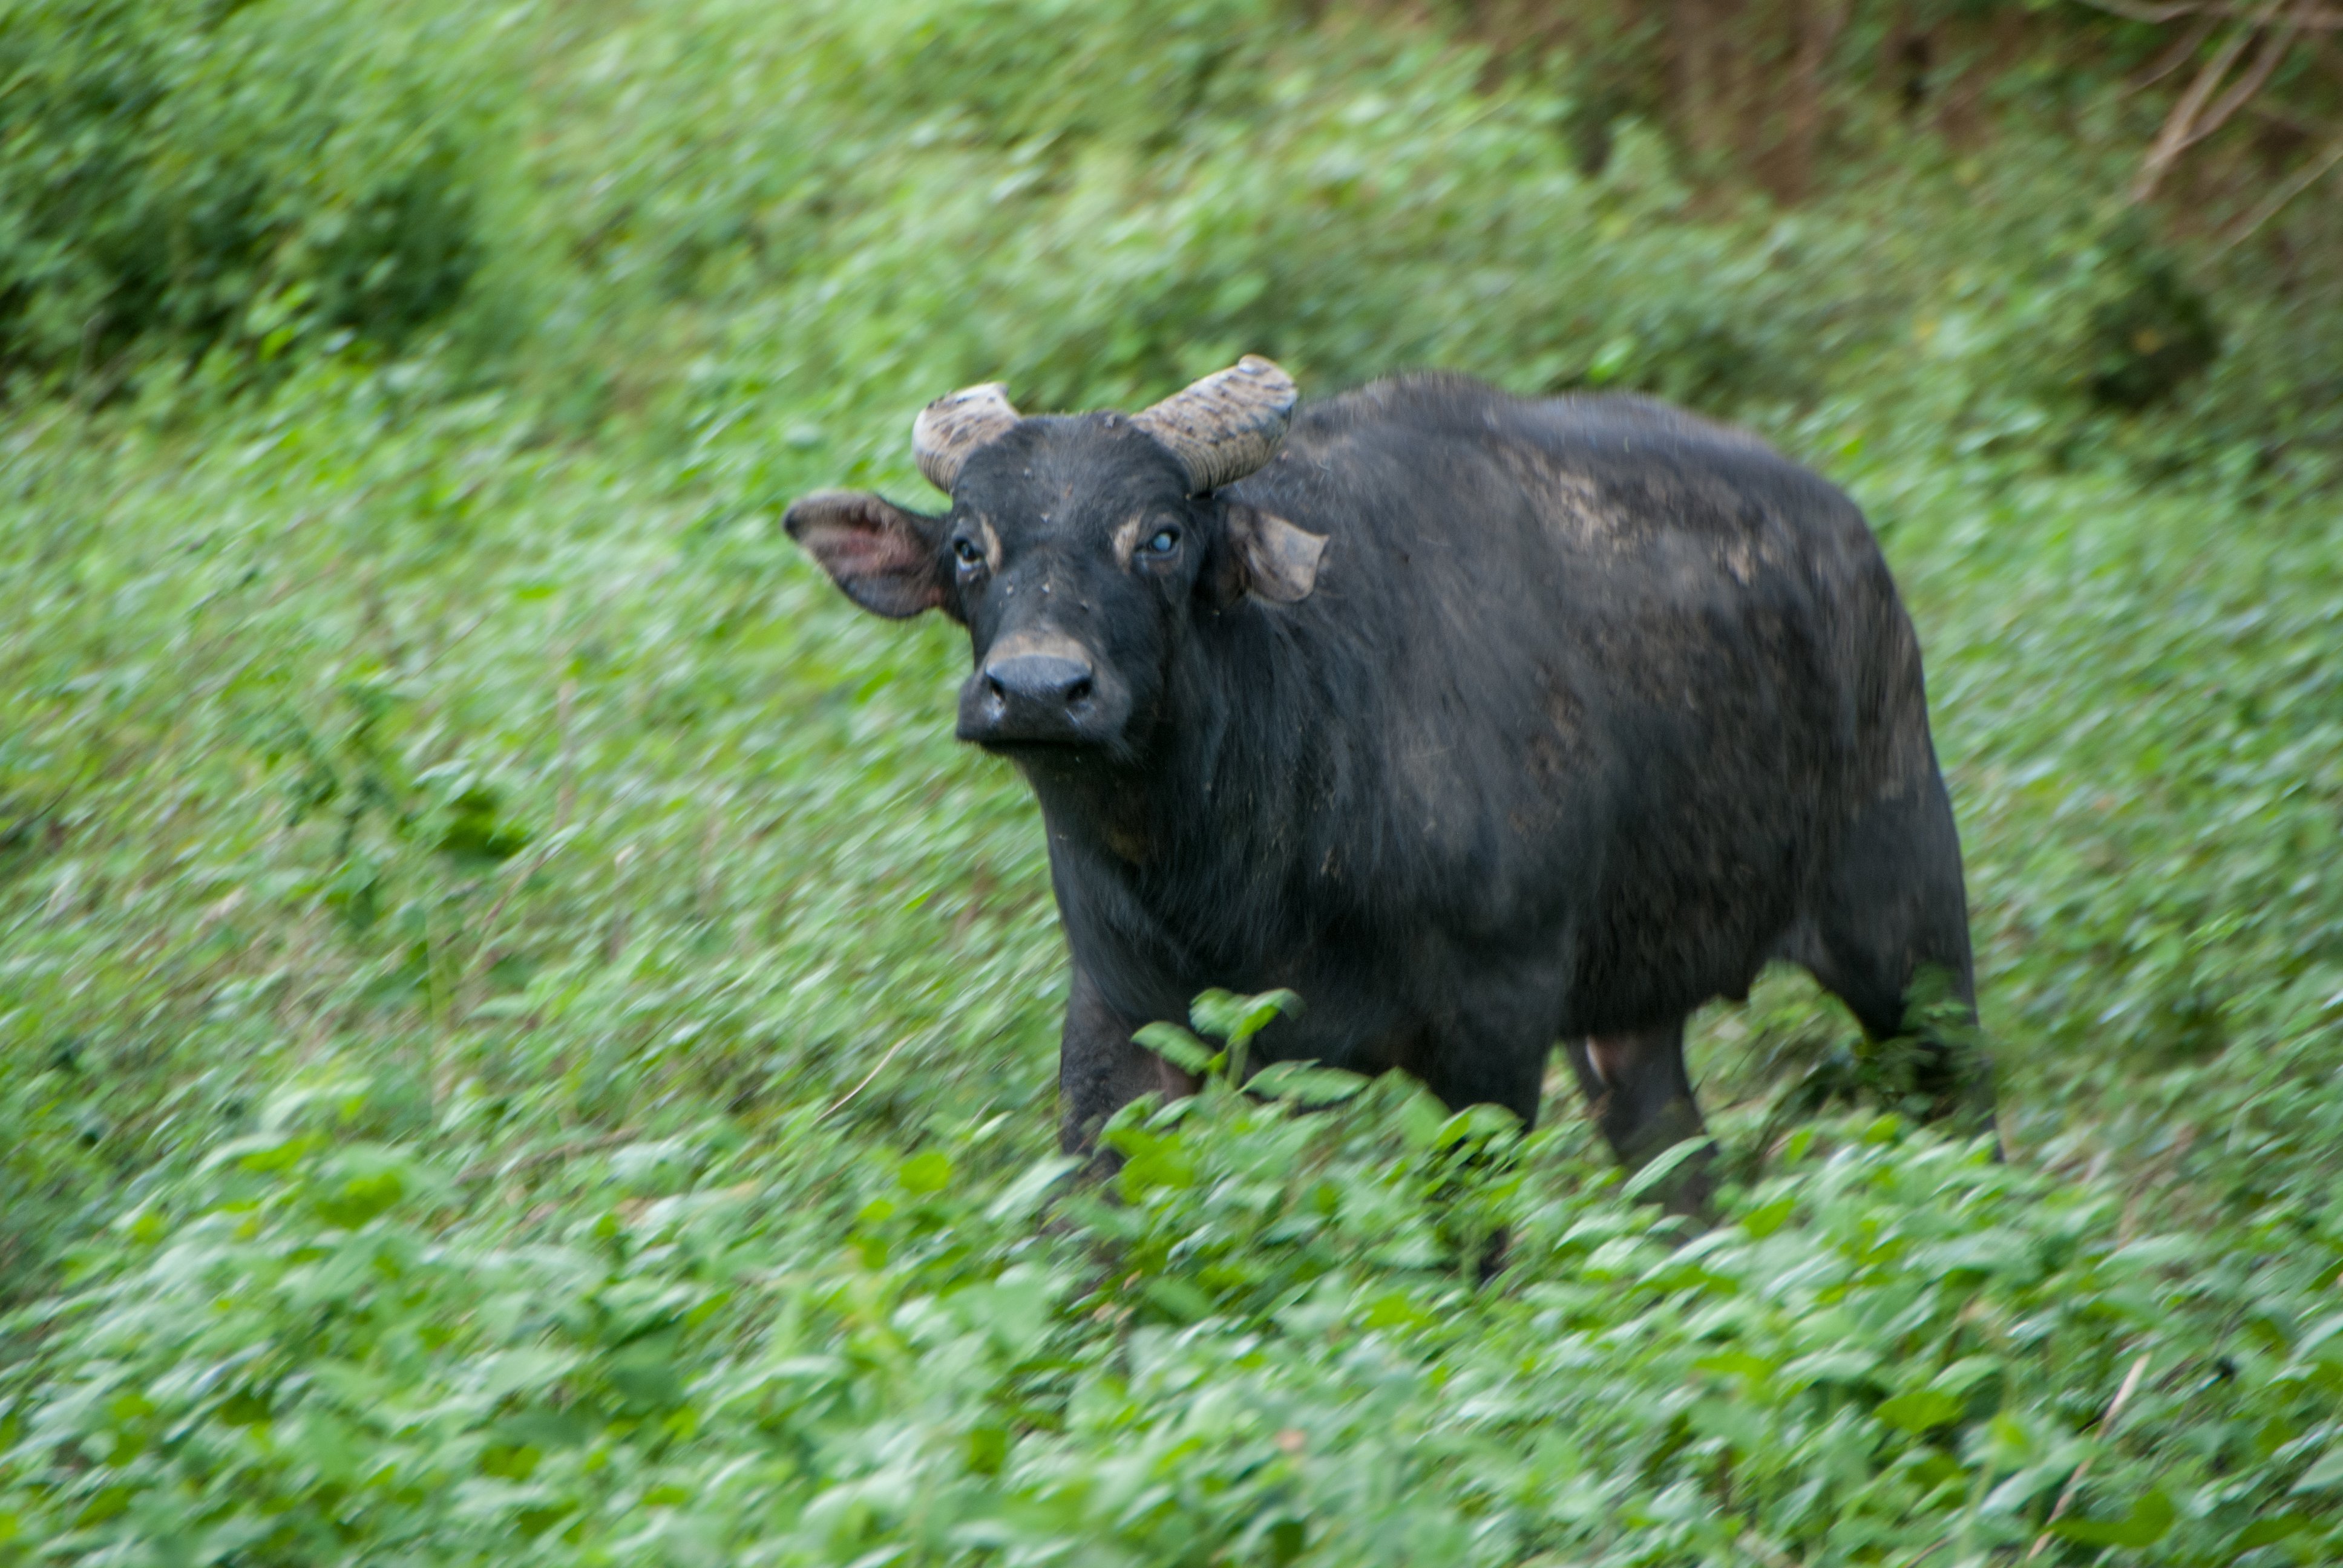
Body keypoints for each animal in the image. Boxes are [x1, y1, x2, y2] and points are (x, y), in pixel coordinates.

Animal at [787, 358, 1996, 1209]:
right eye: (968, 547)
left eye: (1162, 537)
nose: (1037, 687)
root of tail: (1859, 557)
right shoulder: (1117, 1023)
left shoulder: (1492, 1038)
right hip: (1632, 1022)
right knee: (1679, 1174)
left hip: (1911, 936)